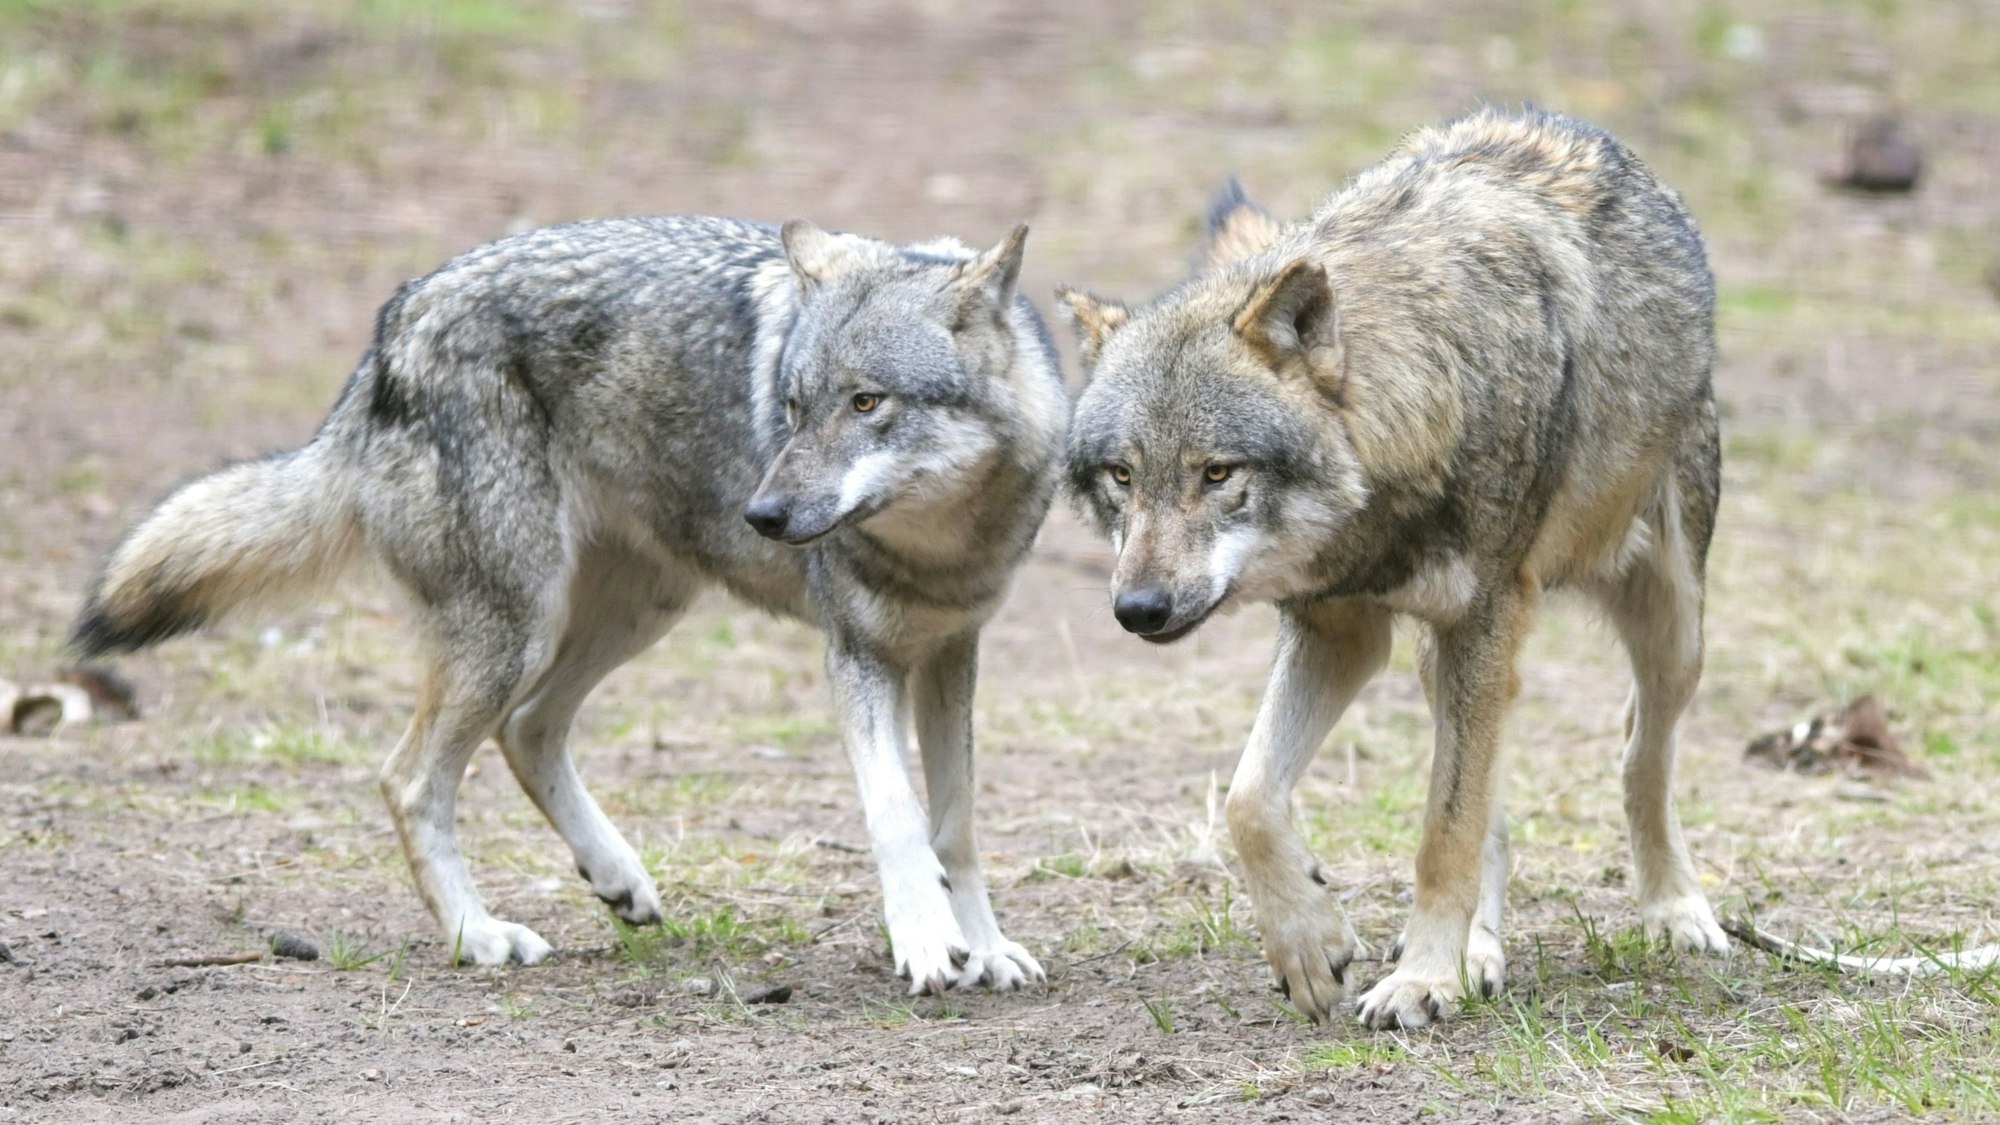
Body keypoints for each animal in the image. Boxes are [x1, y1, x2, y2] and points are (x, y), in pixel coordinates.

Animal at [71, 214, 1069, 994]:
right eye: (790, 406)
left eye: (867, 403)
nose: (764, 514)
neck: (941, 545)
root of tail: (393, 327)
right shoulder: (857, 656)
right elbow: (897, 814)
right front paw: (927, 942)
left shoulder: (950, 652)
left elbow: (955, 824)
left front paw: (984, 946)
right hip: (516, 630)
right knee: (410, 775)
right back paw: (478, 936)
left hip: (635, 610)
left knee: (528, 729)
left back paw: (615, 877)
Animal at [1056, 108, 1726, 1028]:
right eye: (1123, 476)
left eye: (1217, 472)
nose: (1140, 608)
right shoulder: (1341, 628)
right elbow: (1249, 797)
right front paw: (1312, 945)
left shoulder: (1481, 618)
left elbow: (1445, 833)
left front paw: (1420, 978)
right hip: (1445, 658)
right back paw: (1481, 950)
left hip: (1670, 627)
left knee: (1637, 751)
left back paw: (1674, 908)